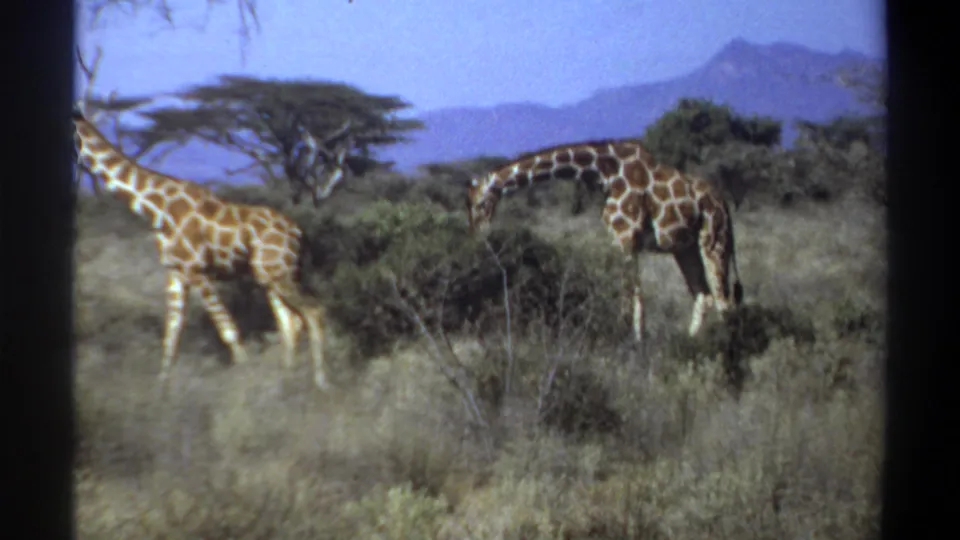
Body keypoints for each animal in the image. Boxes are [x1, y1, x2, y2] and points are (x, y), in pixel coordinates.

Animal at [72, 106, 332, 391]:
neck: (157, 209)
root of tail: (299, 233)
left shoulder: (197, 270)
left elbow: (228, 330)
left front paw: (243, 380)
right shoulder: (175, 272)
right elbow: (171, 334)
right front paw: (162, 389)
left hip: (280, 275)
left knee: (314, 311)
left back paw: (320, 384)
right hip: (270, 277)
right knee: (291, 322)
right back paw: (286, 382)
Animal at [464, 139, 744, 347]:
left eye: (481, 203)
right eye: (468, 205)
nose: (477, 233)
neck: (603, 171)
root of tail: (724, 205)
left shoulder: (625, 236)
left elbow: (629, 299)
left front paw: (628, 345)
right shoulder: (622, 240)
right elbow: (638, 299)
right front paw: (638, 344)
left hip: (714, 239)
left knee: (725, 302)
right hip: (684, 248)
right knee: (705, 296)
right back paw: (692, 343)